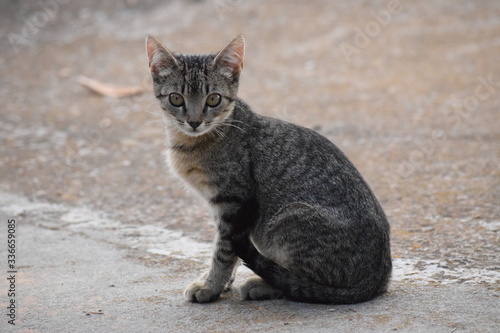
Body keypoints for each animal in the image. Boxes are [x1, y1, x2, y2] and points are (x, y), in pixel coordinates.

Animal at [145, 34, 390, 304]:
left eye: (213, 99)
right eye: (176, 98)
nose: (195, 122)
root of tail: (378, 278)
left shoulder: (235, 203)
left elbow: (224, 250)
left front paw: (211, 286)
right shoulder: (225, 209)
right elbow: (228, 250)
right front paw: (221, 283)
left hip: (286, 220)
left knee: (300, 283)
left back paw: (263, 285)